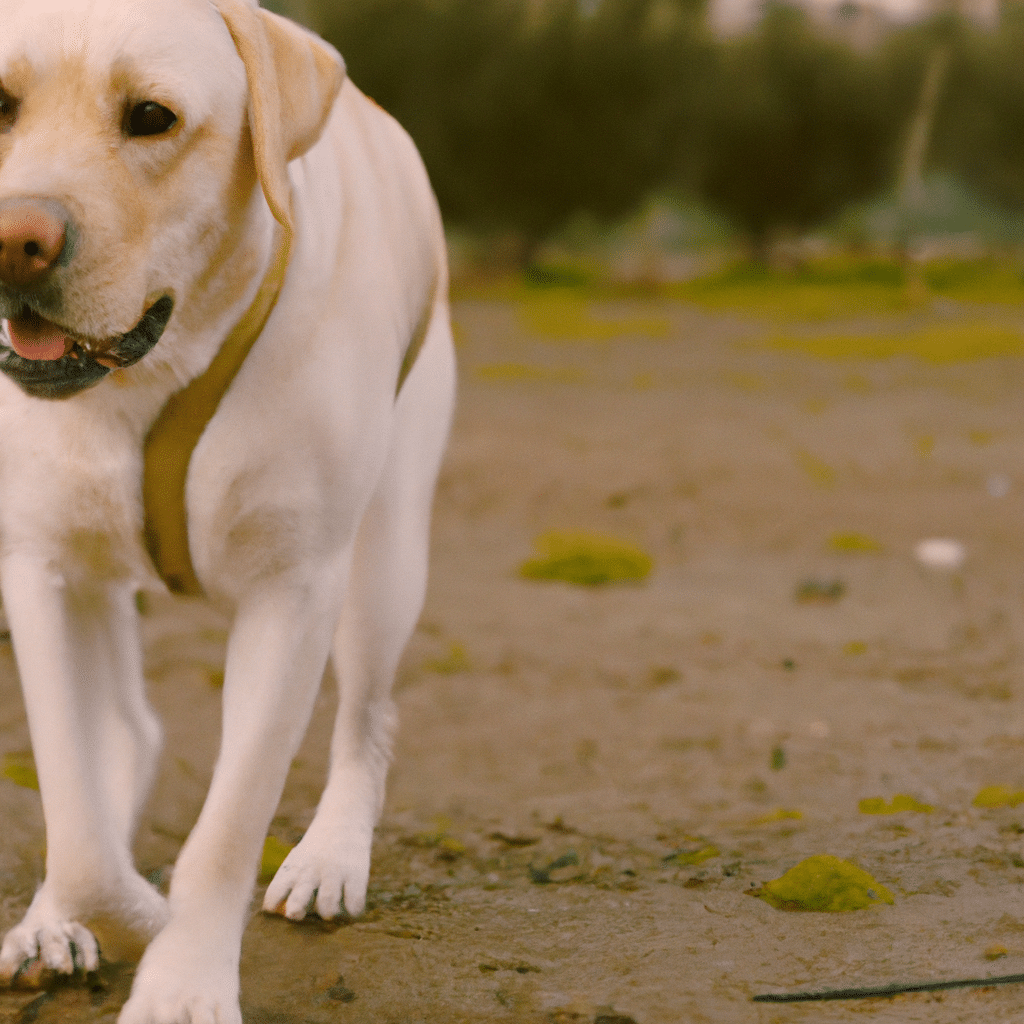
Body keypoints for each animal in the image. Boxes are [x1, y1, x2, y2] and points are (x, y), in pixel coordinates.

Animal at [0, 0, 456, 1019]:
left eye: (152, 118)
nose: (11, 239)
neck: (145, 382)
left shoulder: (293, 593)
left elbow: (225, 831)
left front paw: (178, 972)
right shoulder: (42, 573)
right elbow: (77, 816)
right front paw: (102, 909)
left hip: (388, 560)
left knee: (368, 719)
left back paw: (330, 856)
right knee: (125, 739)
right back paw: (49, 915)